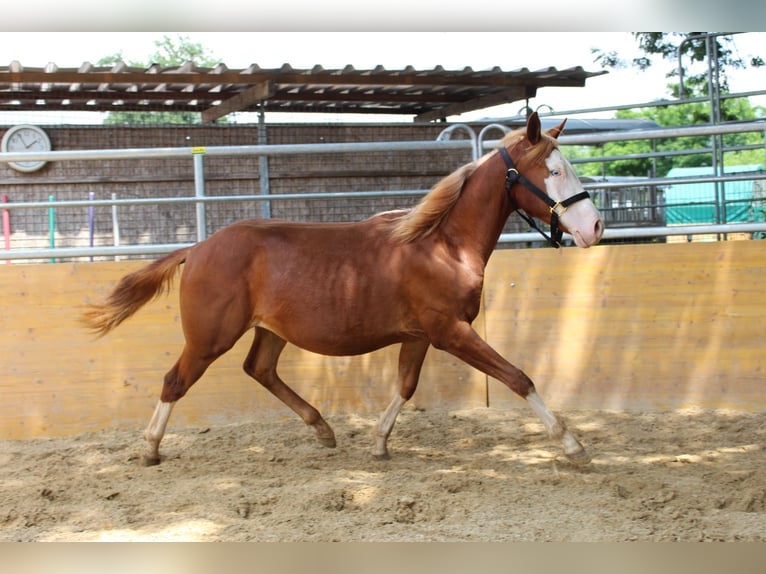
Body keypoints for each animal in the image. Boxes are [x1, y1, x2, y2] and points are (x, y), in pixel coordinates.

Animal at [82, 112, 608, 468]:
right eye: (554, 171)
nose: (596, 227)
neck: (441, 245)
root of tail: (197, 248)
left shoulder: (420, 336)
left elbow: (406, 386)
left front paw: (378, 443)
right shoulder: (450, 332)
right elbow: (519, 378)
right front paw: (572, 443)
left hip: (269, 330)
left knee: (260, 369)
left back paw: (323, 429)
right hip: (210, 337)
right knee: (176, 381)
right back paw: (150, 449)